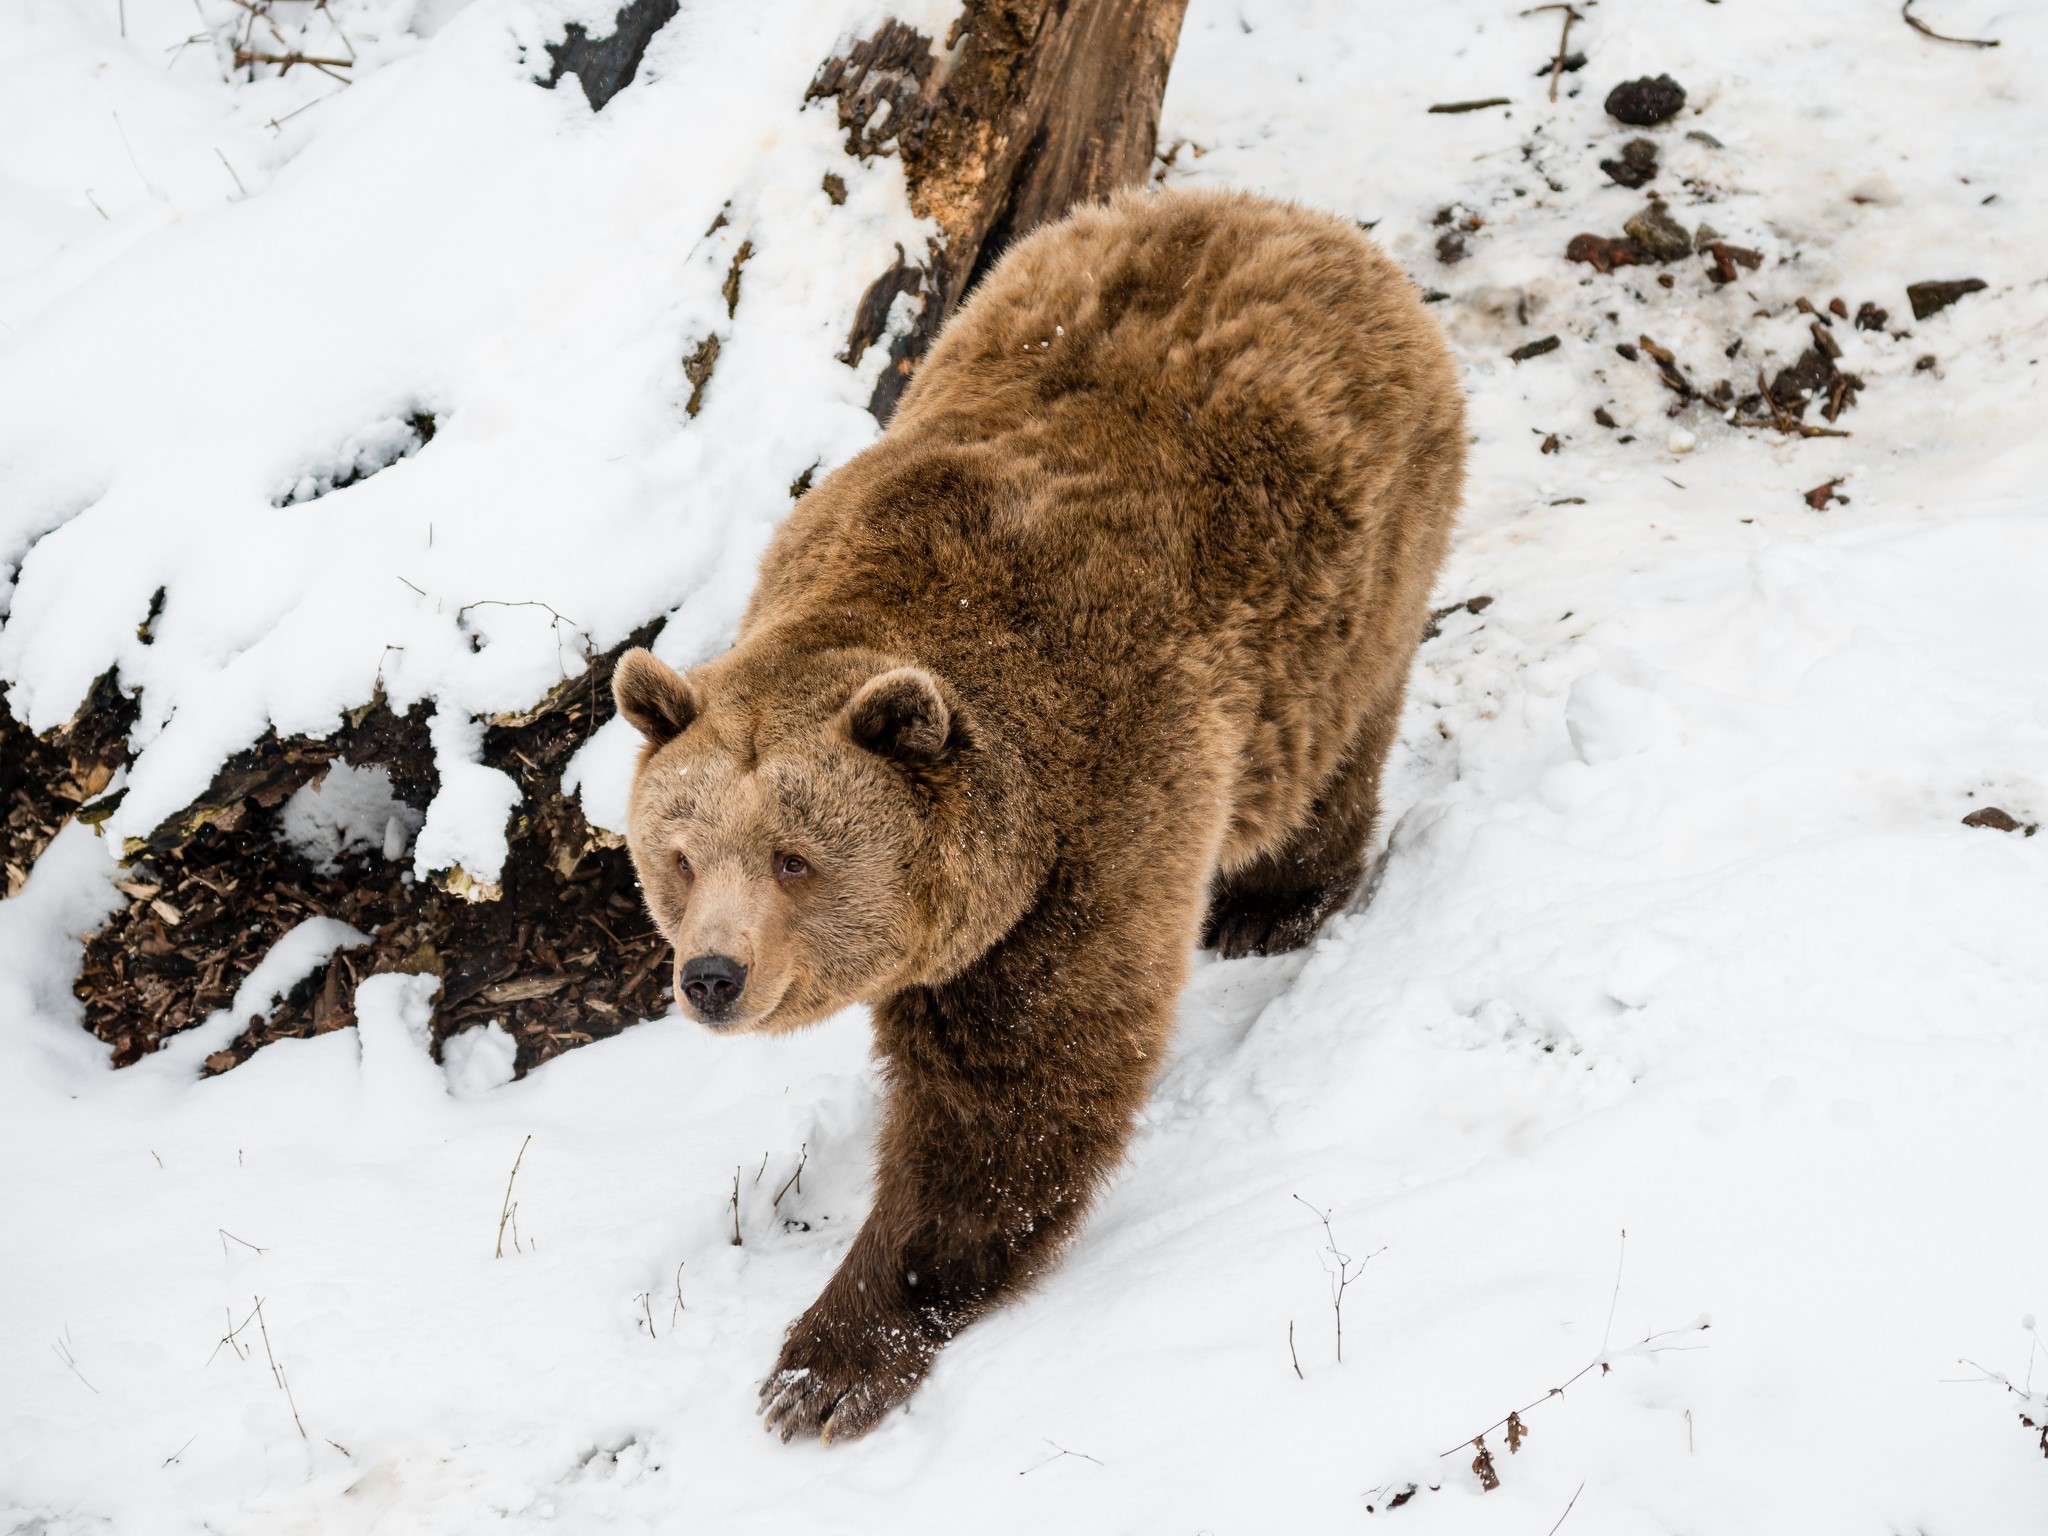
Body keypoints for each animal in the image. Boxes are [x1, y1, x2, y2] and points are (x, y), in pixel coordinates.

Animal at [611, 186, 1465, 1441]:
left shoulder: (1093, 825)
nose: (711, 976)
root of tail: (1292, 216)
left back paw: (1271, 905)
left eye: (793, 859)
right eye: (677, 856)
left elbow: (1015, 1096)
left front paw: (825, 1363)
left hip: (1353, 589)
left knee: (1330, 751)